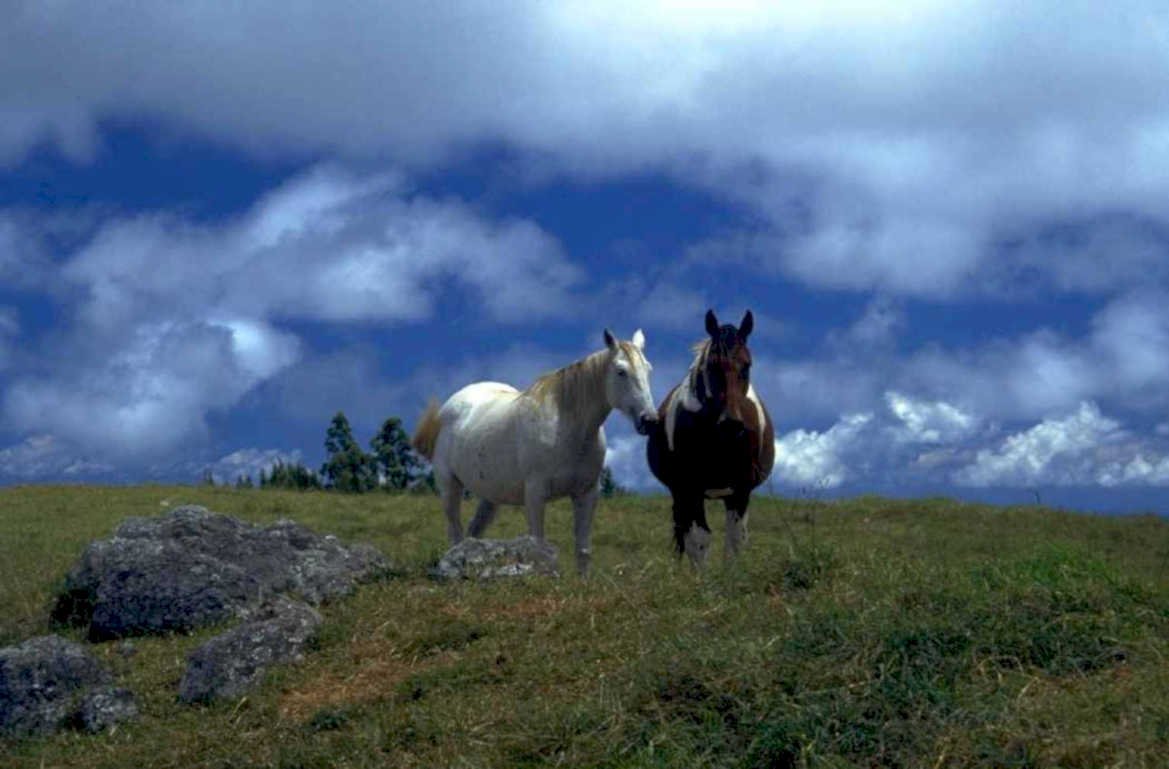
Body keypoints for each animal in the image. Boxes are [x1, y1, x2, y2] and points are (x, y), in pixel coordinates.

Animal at [411, 329, 658, 576]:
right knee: (455, 533)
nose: (649, 420)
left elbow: (583, 550)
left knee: (472, 534)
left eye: (648, 369)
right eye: (621, 371)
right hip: (449, 486)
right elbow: (538, 545)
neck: (567, 428)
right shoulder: (535, 494)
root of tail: (448, 407)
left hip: (490, 496)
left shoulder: (587, 493)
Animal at [647, 309, 775, 565]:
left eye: (747, 365)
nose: (731, 423)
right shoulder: (689, 488)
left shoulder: (741, 491)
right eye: (713, 365)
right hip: (681, 493)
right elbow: (699, 541)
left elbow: (735, 542)